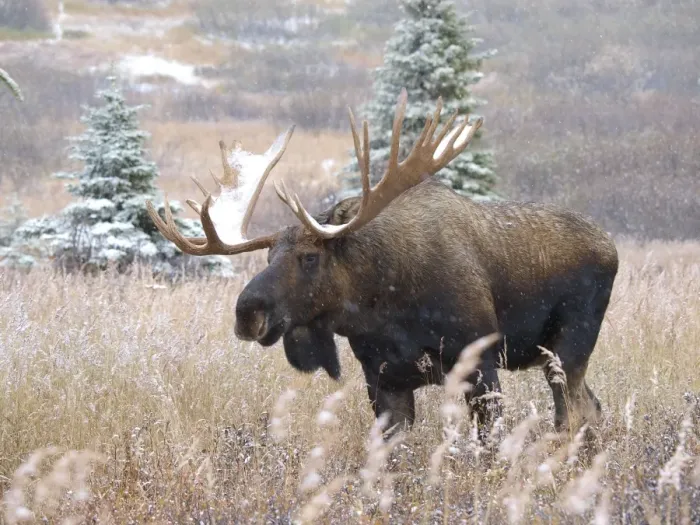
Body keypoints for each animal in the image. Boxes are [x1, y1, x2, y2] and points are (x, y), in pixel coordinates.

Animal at [146, 89, 619, 438]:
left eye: (309, 256)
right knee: (592, 409)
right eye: (267, 254)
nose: (247, 313)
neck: (382, 305)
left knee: (573, 414)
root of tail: (611, 247)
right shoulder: (383, 379)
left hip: (569, 348)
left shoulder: (480, 363)